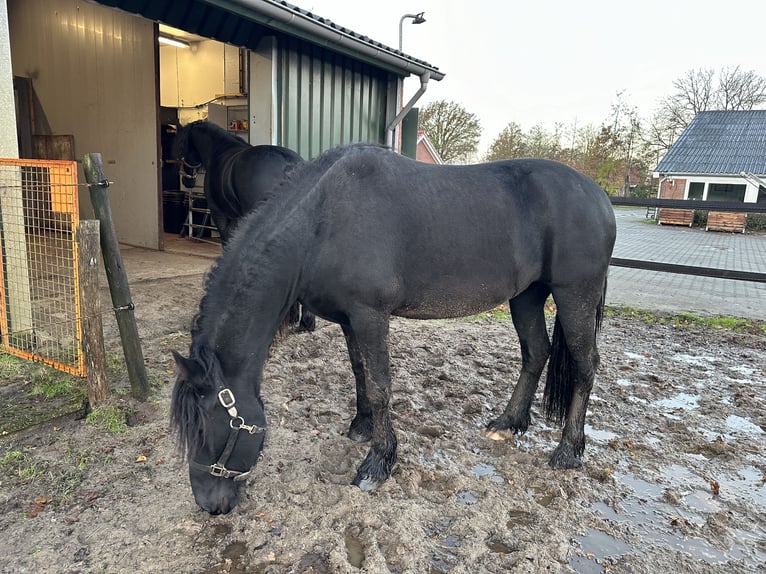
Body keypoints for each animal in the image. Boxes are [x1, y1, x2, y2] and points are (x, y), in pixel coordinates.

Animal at [172, 145, 616, 516]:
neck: (322, 220)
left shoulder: (370, 316)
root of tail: (600, 198)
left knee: (585, 366)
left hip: (574, 295)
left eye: (207, 428)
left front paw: (377, 463)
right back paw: (508, 422)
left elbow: (380, 386)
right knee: (536, 352)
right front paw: (361, 427)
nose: (210, 505)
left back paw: (567, 451)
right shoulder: (349, 319)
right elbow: (360, 373)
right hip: (527, 296)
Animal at [173, 121, 316, 332]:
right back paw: (302, 319)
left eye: (180, 146)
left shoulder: (221, 215)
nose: (186, 181)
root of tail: (288, 165)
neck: (218, 152)